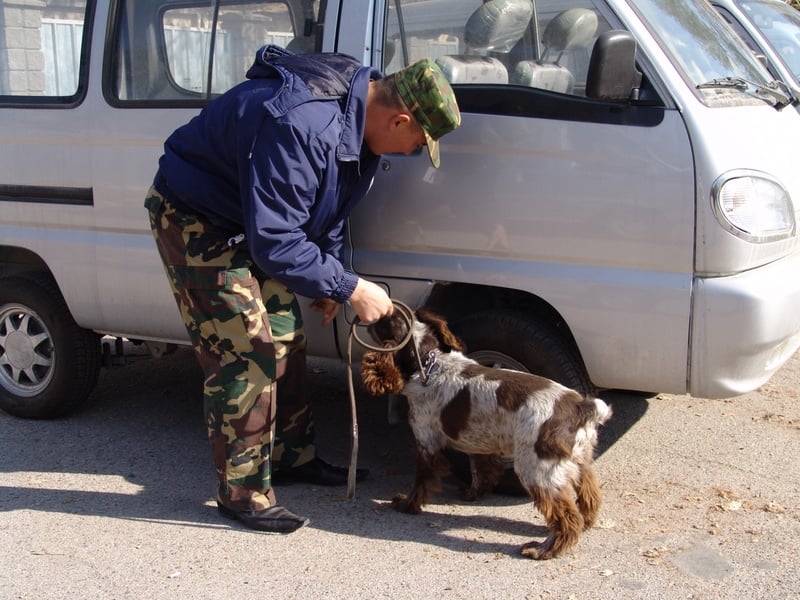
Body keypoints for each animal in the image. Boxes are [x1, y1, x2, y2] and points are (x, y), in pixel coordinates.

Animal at [362, 308, 612, 560]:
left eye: (385, 321)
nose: (373, 314)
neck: (430, 363)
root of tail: (582, 407)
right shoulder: (478, 442)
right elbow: (482, 471)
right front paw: (473, 493)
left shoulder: (426, 442)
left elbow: (421, 482)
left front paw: (406, 505)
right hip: (580, 460)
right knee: (589, 497)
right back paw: (585, 523)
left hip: (536, 469)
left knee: (567, 517)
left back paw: (543, 549)